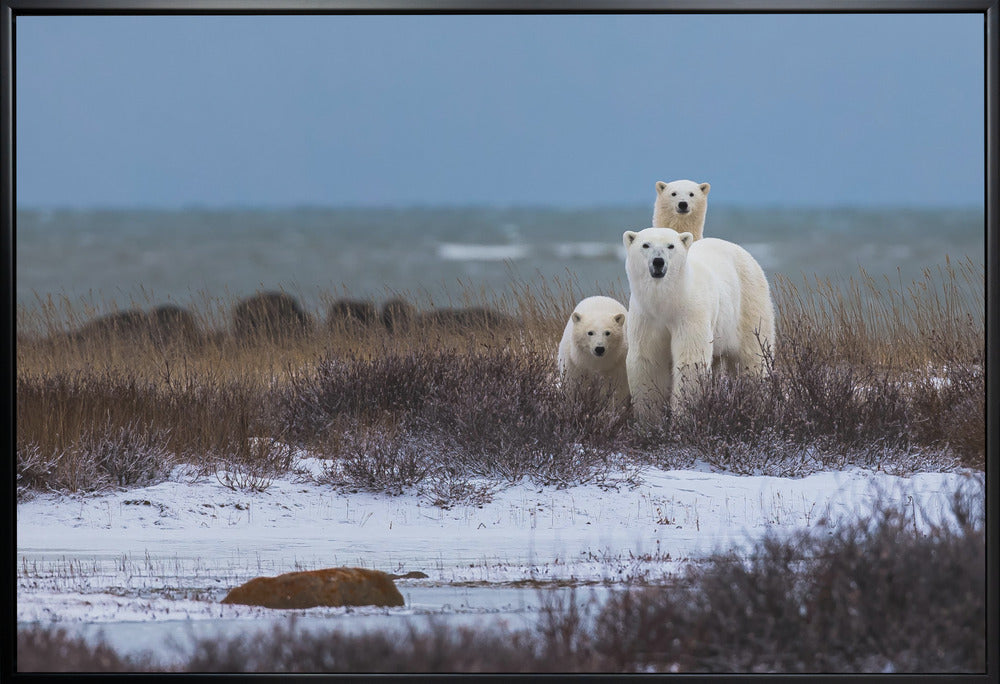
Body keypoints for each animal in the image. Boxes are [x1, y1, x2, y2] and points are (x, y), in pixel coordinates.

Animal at [623, 227, 775, 421]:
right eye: (645, 245)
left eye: (671, 246)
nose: (658, 261)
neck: (669, 300)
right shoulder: (646, 316)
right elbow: (648, 359)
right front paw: (649, 418)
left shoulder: (690, 312)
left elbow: (690, 359)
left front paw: (683, 415)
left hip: (749, 304)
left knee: (752, 357)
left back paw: (756, 400)